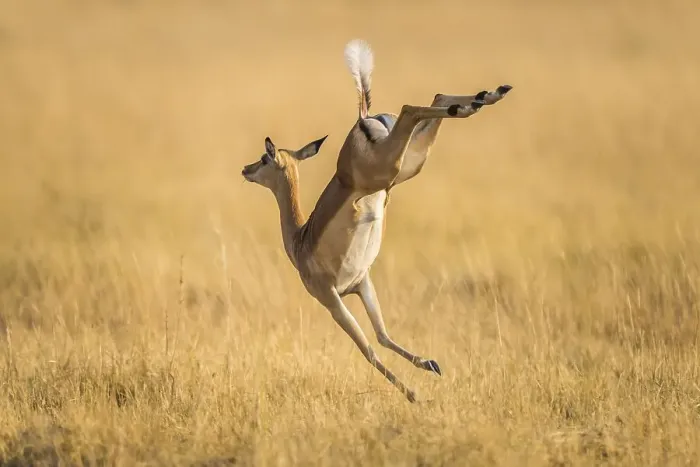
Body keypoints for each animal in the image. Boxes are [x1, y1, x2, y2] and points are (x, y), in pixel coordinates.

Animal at [241, 39, 512, 402]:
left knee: (412, 107)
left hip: (389, 168)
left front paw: (413, 394)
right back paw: (486, 96)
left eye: (263, 159)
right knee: (435, 98)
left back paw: (478, 101)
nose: (245, 170)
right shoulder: (362, 283)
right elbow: (383, 335)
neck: (300, 240)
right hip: (407, 166)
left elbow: (368, 349)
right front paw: (429, 365)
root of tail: (363, 118)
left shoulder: (330, 298)